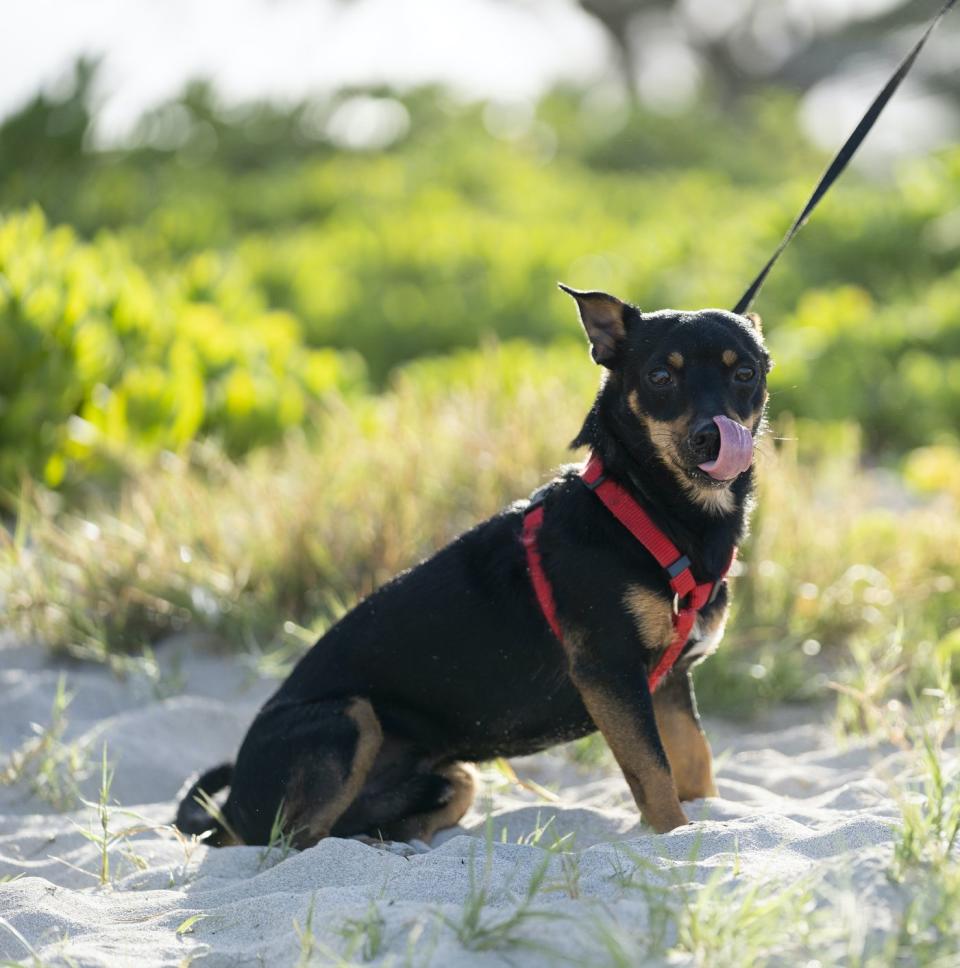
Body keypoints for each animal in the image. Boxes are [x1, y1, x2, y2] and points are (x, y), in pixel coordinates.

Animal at [174, 284, 772, 844]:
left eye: (745, 373)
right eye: (659, 377)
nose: (713, 435)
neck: (652, 508)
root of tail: (227, 812)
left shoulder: (669, 683)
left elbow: (694, 764)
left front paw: (708, 828)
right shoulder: (610, 673)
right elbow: (654, 773)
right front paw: (674, 838)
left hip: (454, 777)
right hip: (347, 718)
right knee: (294, 844)